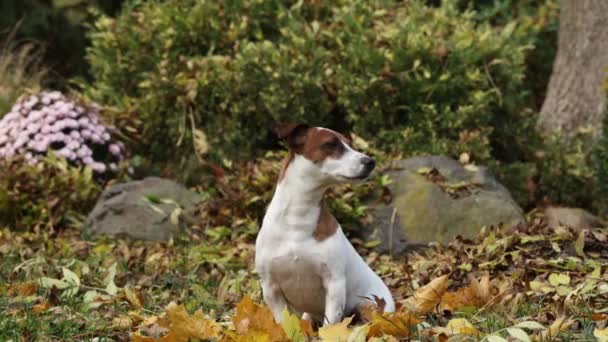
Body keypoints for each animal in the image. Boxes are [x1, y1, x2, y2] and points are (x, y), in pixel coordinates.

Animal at [254, 123, 396, 326]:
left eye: (350, 144)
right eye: (331, 144)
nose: (370, 161)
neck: (297, 219)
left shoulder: (334, 284)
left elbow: (330, 325)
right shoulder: (270, 288)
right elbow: (283, 323)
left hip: (369, 306)